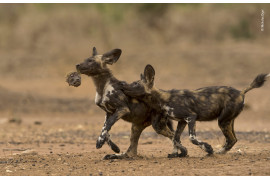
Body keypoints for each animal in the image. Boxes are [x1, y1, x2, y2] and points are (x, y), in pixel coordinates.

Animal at [122, 64, 270, 157]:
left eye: (135, 84)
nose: (122, 84)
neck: (162, 99)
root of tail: (241, 92)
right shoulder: (182, 121)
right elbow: (175, 138)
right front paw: (179, 153)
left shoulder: (191, 117)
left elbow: (192, 138)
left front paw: (207, 148)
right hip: (228, 121)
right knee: (233, 139)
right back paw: (219, 152)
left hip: (222, 121)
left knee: (231, 139)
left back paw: (217, 153)